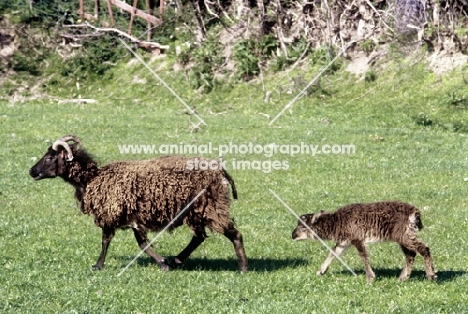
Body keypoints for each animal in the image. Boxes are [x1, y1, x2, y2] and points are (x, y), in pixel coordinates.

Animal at [29, 135, 249, 272]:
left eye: (49, 158)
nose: (31, 171)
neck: (92, 179)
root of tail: (220, 171)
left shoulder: (111, 213)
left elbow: (106, 241)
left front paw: (98, 265)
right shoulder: (133, 216)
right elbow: (143, 243)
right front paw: (163, 263)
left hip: (211, 208)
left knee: (234, 234)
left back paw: (243, 268)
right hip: (197, 212)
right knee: (199, 237)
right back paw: (177, 260)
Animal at [290, 201, 436, 282]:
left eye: (303, 226)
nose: (292, 235)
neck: (337, 223)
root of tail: (415, 212)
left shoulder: (357, 238)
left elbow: (363, 256)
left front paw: (370, 277)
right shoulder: (345, 241)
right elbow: (333, 253)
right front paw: (321, 271)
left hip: (403, 235)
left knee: (423, 248)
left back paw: (431, 276)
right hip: (403, 236)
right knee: (410, 255)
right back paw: (402, 278)